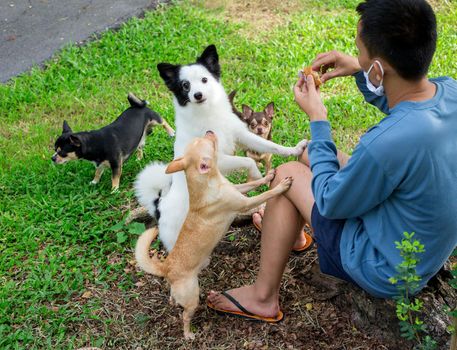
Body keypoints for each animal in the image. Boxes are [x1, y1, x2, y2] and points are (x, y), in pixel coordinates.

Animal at [134, 44, 306, 252]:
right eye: (185, 85)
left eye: (204, 79)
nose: (197, 95)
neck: (207, 113)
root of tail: (159, 206)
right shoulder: (217, 158)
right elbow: (248, 160)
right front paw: (257, 176)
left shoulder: (242, 135)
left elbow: (271, 146)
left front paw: (295, 150)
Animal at [135, 131, 292, 340]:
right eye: (208, 143)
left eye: (199, 140)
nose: (210, 131)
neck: (210, 183)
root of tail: (166, 267)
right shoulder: (244, 203)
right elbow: (263, 196)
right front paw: (281, 186)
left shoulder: (238, 190)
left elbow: (252, 183)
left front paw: (269, 176)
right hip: (192, 296)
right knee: (185, 316)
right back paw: (188, 334)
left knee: (172, 295)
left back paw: (173, 301)